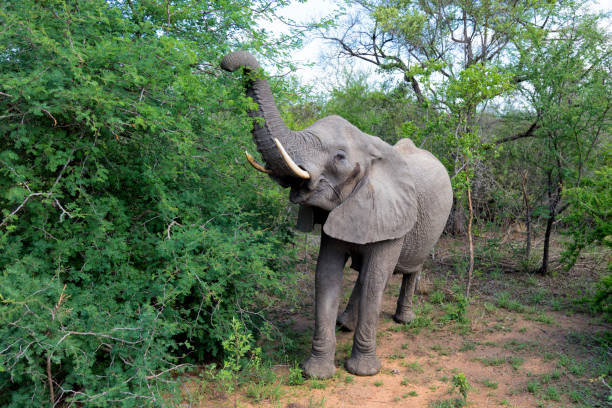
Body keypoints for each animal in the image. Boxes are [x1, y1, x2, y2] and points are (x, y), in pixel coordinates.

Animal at [222, 51, 452, 380]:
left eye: (340, 158)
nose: (226, 64)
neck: (371, 147)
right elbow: (327, 275)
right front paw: (317, 373)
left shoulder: (393, 216)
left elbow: (375, 280)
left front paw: (363, 372)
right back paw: (345, 323)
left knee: (406, 270)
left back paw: (403, 320)